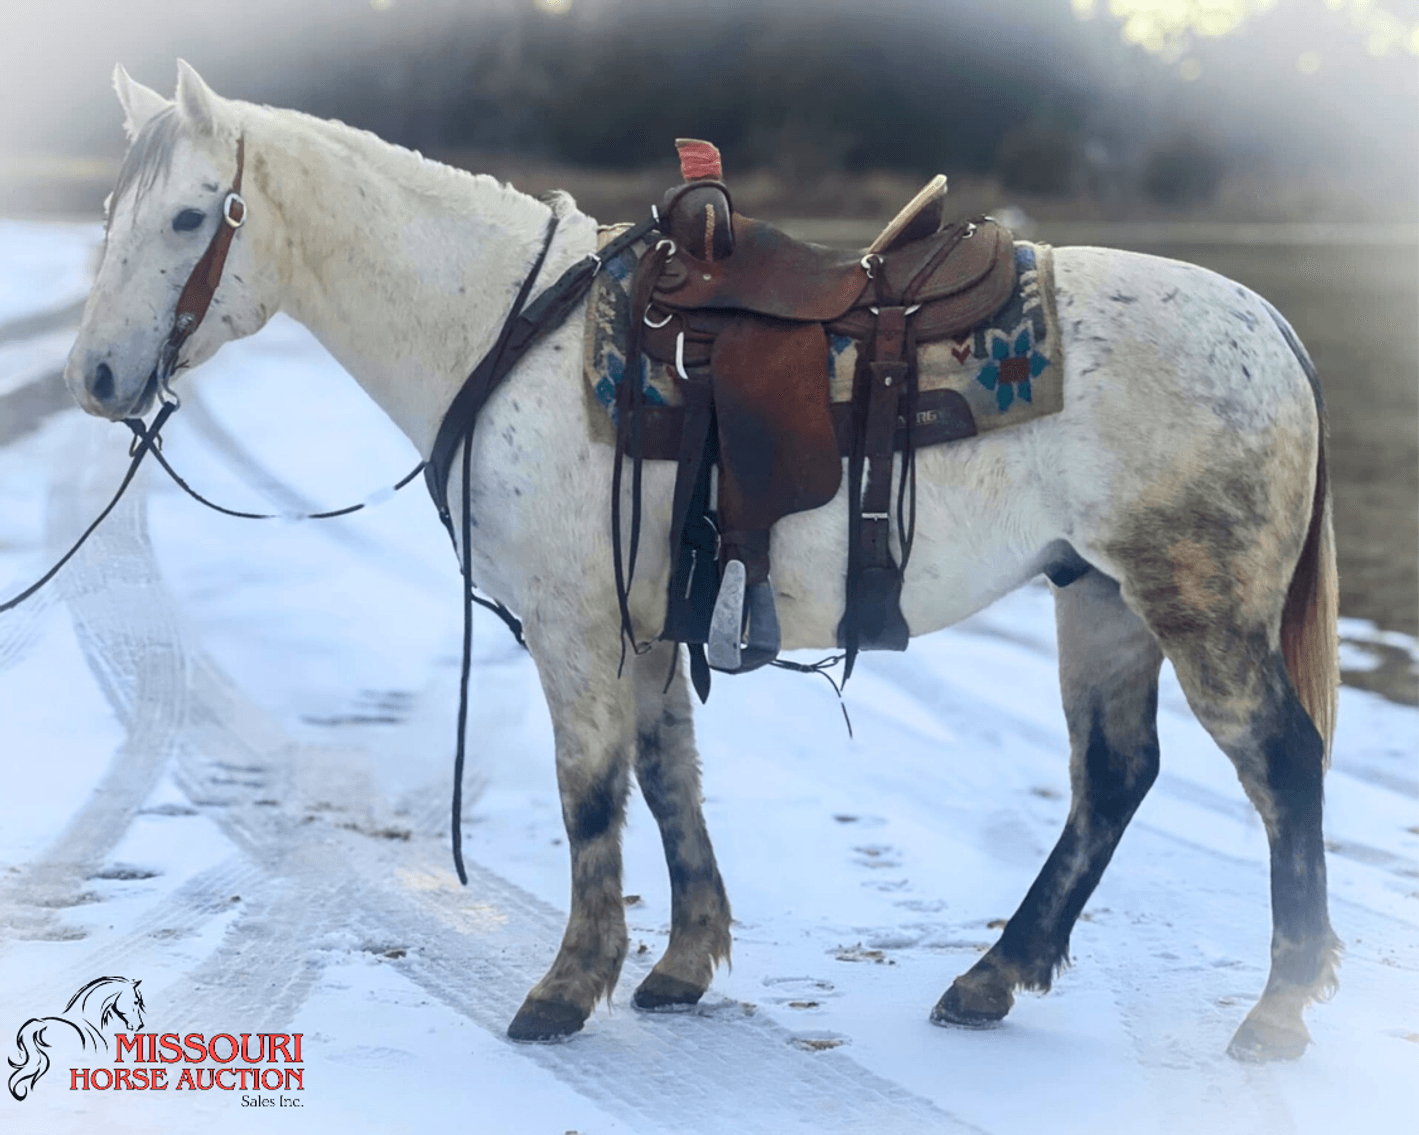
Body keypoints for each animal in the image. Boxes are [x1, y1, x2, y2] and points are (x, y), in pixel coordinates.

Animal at [63, 61, 1339, 1062]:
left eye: (191, 218)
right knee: (1113, 778)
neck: (501, 328)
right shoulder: (647, 621)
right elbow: (668, 774)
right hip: (1102, 597)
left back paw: (1278, 1009)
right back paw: (992, 975)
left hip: (1199, 604)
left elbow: (590, 792)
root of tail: (1274, 327)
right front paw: (680, 963)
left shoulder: (574, 623)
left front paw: (565, 986)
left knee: (1282, 764)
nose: (94, 377)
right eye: (113, 213)